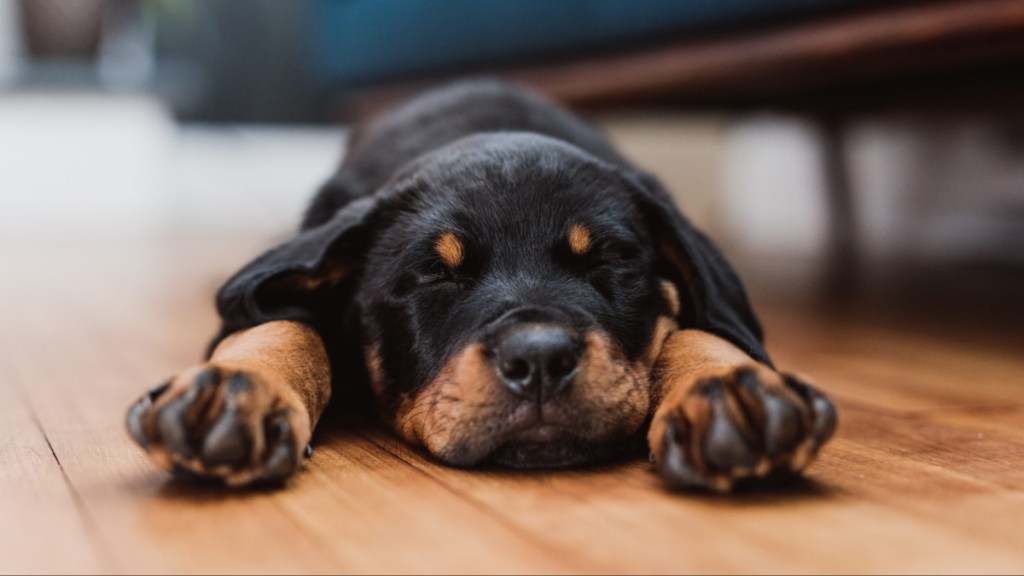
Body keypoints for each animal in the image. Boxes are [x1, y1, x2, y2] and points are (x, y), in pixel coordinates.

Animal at [128, 78, 835, 491]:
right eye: (435, 274)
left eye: (607, 264)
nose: (540, 359)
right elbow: (282, 322)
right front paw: (232, 391)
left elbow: (697, 329)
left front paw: (731, 391)